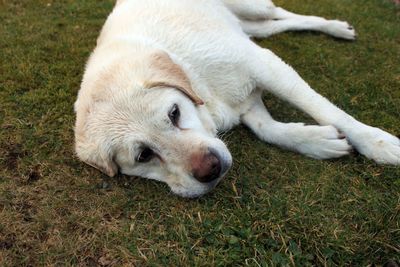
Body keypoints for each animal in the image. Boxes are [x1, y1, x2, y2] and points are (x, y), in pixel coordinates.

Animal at [74, 0, 396, 199]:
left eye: (174, 113)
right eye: (143, 155)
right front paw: (318, 141)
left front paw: (379, 144)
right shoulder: (247, 102)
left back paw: (336, 27)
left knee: (281, 12)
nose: (211, 169)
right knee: (272, 25)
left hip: (252, 6)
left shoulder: (265, 66)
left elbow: (327, 110)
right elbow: (270, 131)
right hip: (249, 25)